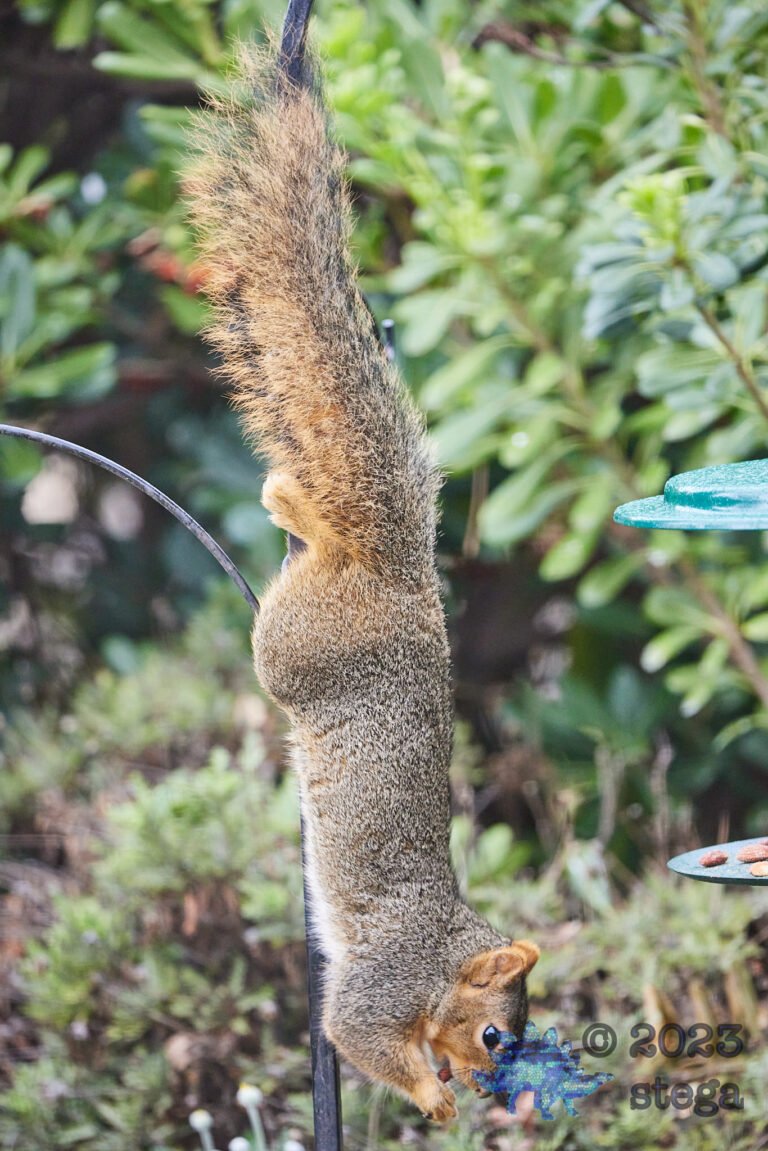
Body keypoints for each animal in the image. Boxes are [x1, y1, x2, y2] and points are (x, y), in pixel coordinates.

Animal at [187, 0, 540, 1123]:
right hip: (294, 647)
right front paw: (433, 1097)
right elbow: (355, 1035)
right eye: (493, 1031)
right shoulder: (380, 982)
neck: (440, 949)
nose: (495, 1089)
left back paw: (289, 500)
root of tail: (395, 570)